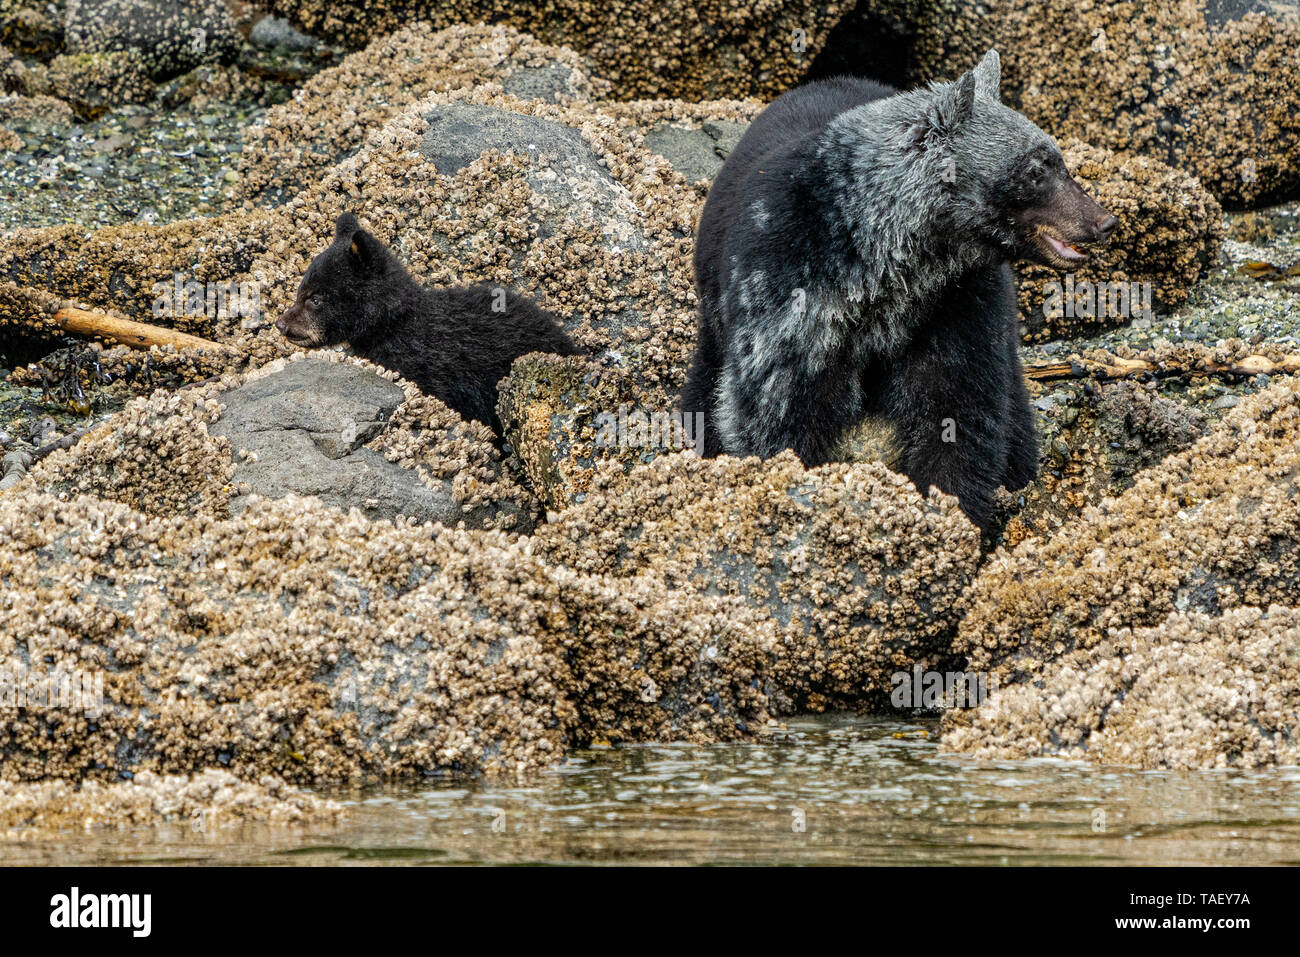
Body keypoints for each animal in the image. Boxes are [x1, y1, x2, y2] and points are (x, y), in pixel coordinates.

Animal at [681, 50, 1118, 530]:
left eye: (1058, 159)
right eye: (1036, 169)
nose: (1104, 221)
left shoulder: (954, 298)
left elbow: (956, 403)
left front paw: (949, 505)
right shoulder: (788, 282)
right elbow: (777, 402)